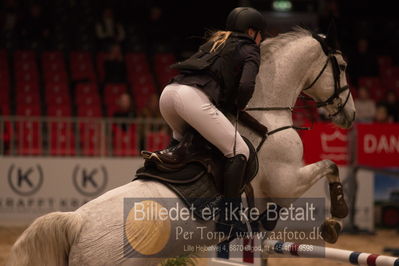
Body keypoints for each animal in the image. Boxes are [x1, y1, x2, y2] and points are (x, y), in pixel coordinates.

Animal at [7, 27, 356, 266]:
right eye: (343, 66)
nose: (350, 115)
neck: (265, 116)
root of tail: (76, 223)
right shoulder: (286, 181)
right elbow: (329, 165)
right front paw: (336, 219)